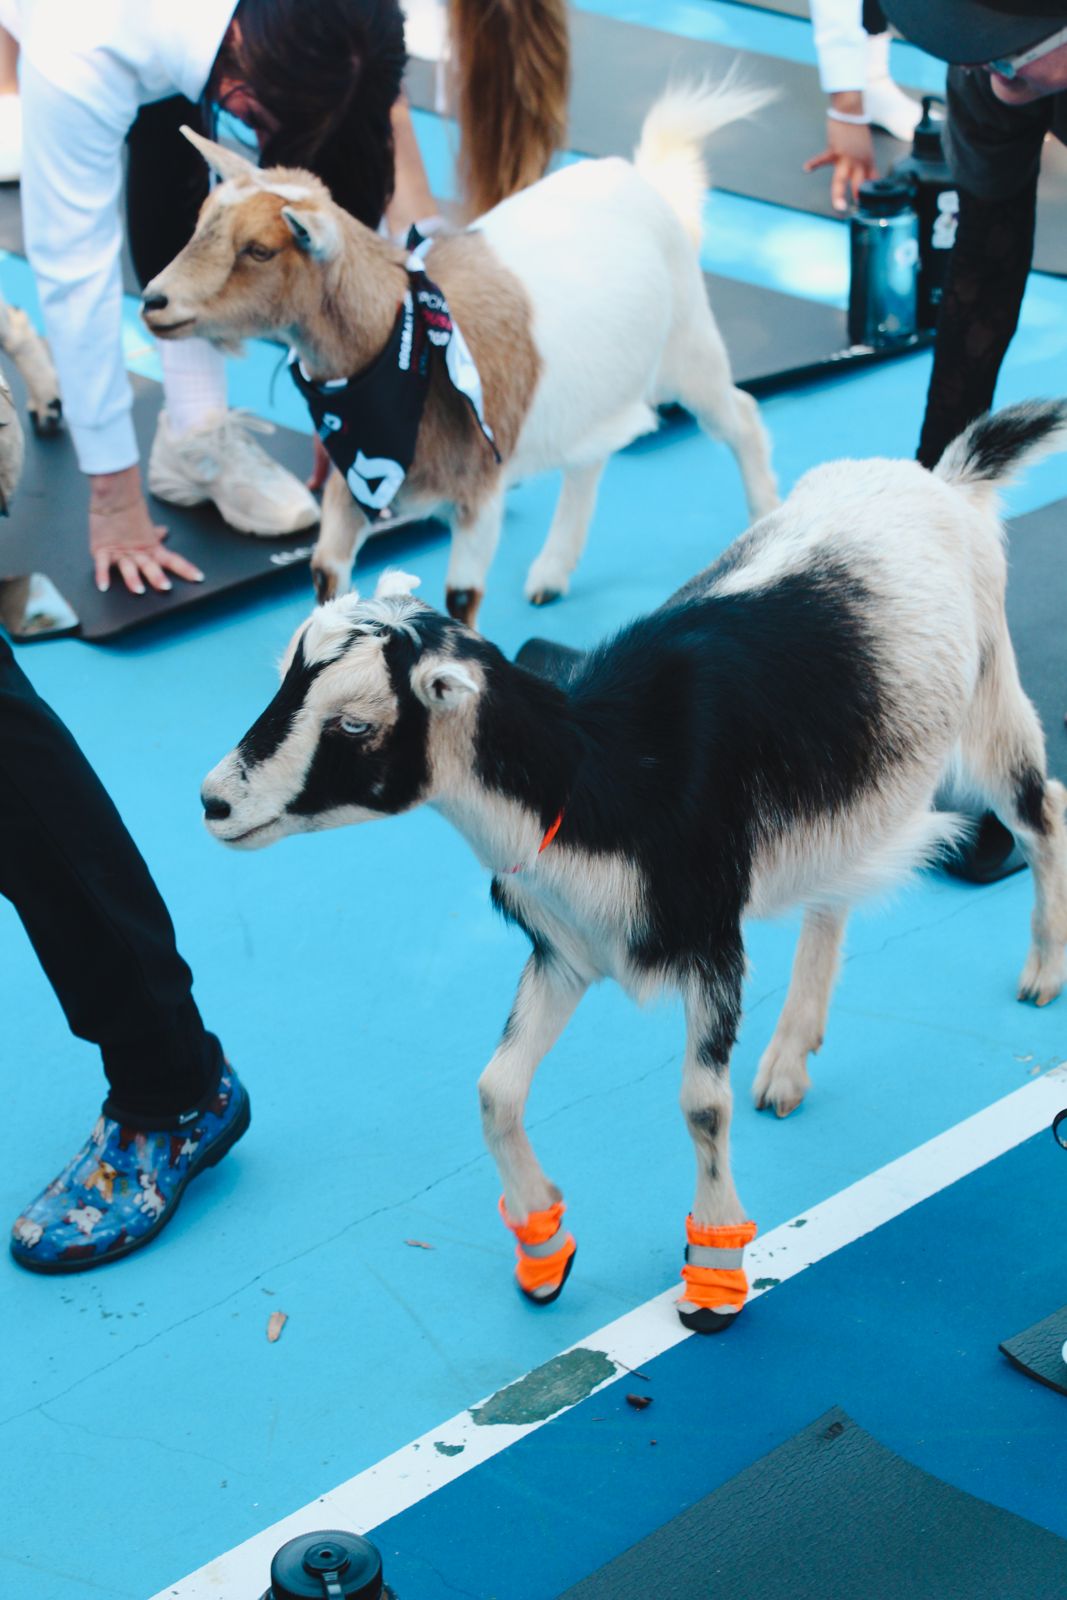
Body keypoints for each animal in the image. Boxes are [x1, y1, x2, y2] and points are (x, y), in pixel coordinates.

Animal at [141, 80, 780, 629]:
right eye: (200, 222)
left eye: (260, 250)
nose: (152, 300)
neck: (405, 352)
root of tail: (641, 177)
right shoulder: (349, 486)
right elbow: (326, 576)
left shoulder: (481, 495)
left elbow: (460, 600)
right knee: (589, 461)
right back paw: (551, 572)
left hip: (689, 348)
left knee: (742, 416)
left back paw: (766, 521)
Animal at [200, 402, 1067, 1333]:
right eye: (285, 676)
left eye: (355, 725)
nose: (213, 801)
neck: (597, 776)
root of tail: (943, 479)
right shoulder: (565, 949)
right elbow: (495, 1089)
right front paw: (544, 1251)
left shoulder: (710, 941)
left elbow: (699, 1106)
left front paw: (714, 1275)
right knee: (833, 891)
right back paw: (789, 1059)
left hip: (988, 693)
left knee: (1041, 807)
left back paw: (1041, 972)